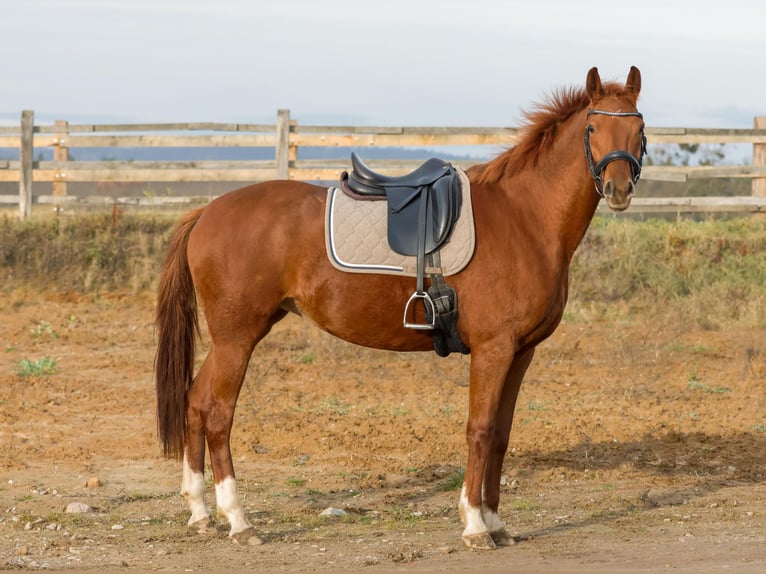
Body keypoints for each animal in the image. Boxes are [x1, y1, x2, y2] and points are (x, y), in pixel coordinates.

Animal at [155, 66, 646, 549]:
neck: (524, 217)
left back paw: (201, 513)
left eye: (638, 128)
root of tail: (207, 212)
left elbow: (501, 435)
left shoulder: (521, 352)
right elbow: (480, 429)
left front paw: (495, 521)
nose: (619, 189)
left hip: (229, 340)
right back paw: (238, 520)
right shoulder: (493, 349)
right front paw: (474, 524)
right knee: (217, 412)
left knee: (194, 402)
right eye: (592, 128)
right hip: (237, 338)